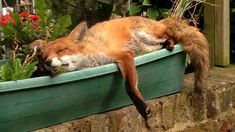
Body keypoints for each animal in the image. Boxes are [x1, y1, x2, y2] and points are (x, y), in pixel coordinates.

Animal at [30, 16, 209, 124]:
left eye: (62, 50)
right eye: (44, 57)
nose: (47, 62)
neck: (91, 61)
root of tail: (158, 20)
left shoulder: (124, 55)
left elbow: (129, 86)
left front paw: (141, 107)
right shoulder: (126, 56)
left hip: (145, 35)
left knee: (171, 35)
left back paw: (170, 43)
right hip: (145, 48)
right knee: (165, 41)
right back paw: (168, 45)